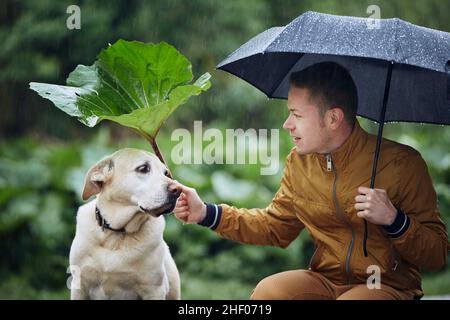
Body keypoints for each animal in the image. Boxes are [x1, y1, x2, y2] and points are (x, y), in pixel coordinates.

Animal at [69, 148, 181, 300]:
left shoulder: (154, 290)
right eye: (143, 168)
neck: (116, 234)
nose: (178, 190)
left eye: (166, 173)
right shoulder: (79, 286)